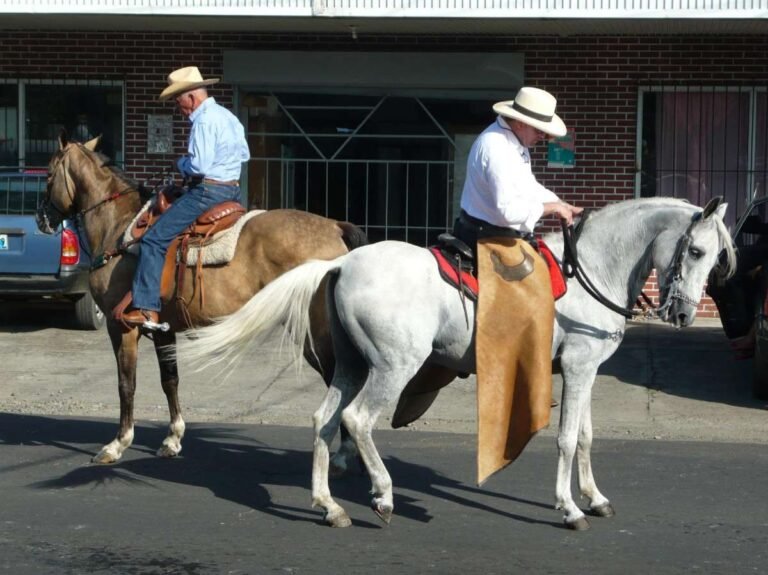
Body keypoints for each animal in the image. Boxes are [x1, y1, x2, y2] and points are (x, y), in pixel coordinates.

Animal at [36, 134, 367, 464]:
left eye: (49, 174)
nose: (41, 219)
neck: (118, 228)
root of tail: (335, 226)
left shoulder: (121, 328)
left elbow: (126, 384)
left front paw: (117, 444)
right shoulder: (163, 329)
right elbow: (169, 380)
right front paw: (173, 439)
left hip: (314, 332)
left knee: (338, 379)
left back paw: (343, 453)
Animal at [179, 196, 735, 529]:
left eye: (714, 257)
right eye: (696, 250)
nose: (684, 314)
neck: (590, 271)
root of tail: (342, 263)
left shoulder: (588, 369)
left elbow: (587, 437)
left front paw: (595, 498)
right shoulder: (578, 367)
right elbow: (567, 438)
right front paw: (570, 507)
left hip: (351, 365)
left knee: (324, 420)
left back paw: (330, 506)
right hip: (392, 367)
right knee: (358, 420)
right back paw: (383, 495)